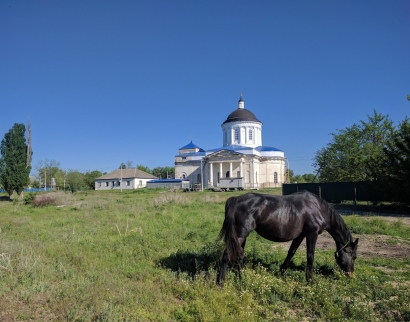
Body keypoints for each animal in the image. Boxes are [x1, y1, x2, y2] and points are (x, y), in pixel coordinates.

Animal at [216, 191, 358, 284]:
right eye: (354, 256)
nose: (352, 275)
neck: (318, 208)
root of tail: (237, 199)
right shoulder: (312, 233)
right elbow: (310, 256)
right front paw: (310, 279)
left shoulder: (300, 235)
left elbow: (291, 252)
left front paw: (282, 271)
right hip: (241, 233)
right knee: (228, 253)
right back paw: (221, 282)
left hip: (240, 235)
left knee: (239, 253)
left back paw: (242, 276)